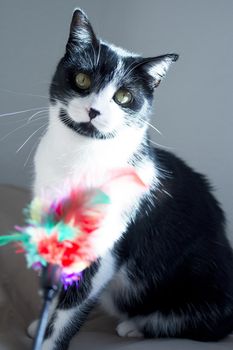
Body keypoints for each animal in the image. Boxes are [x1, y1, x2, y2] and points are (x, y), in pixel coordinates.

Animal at [29, 7, 233, 350]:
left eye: (124, 97)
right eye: (82, 79)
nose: (94, 110)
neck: (81, 156)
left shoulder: (107, 242)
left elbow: (73, 303)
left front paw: (50, 342)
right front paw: (40, 324)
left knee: (208, 327)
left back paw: (136, 326)